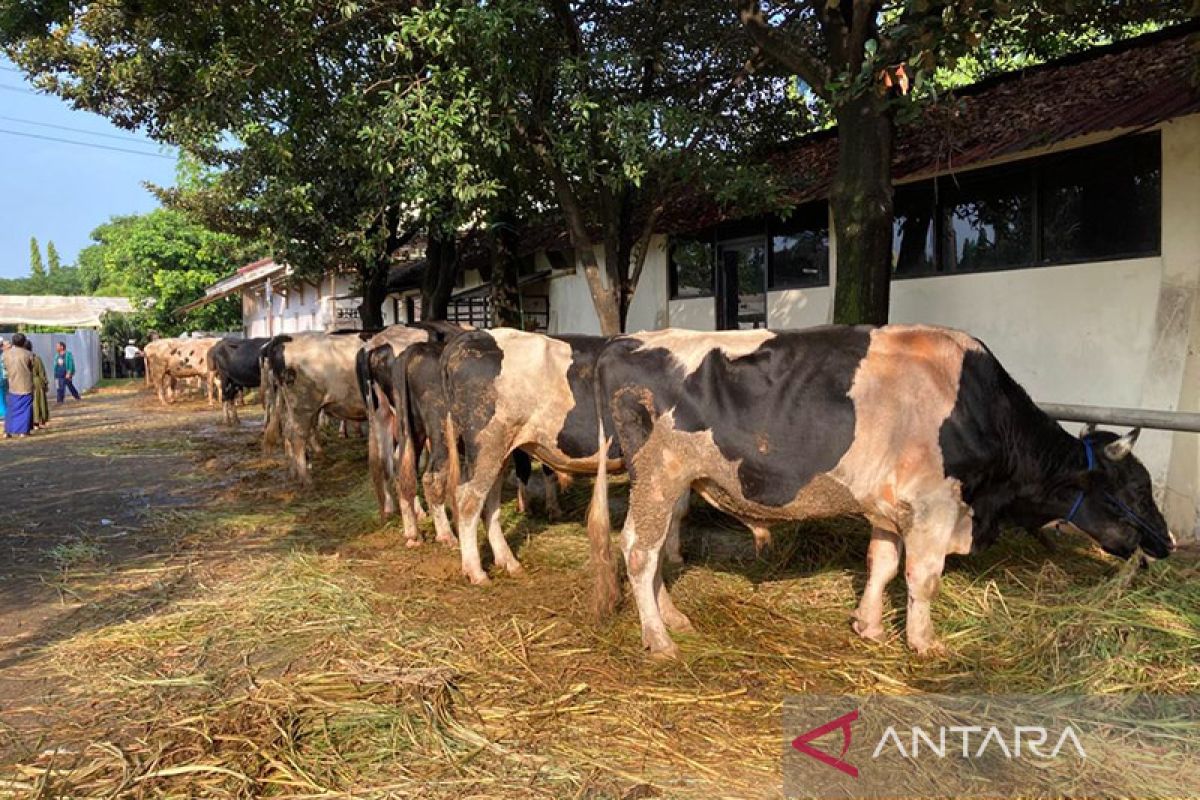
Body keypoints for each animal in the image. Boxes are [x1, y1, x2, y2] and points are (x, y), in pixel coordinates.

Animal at [590, 323, 1171, 657]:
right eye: (1137, 489)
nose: (1164, 543)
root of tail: (626, 339)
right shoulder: (934, 507)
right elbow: (923, 579)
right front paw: (925, 643)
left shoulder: (891, 505)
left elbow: (883, 564)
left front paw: (868, 626)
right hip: (658, 473)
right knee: (638, 551)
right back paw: (659, 639)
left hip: (674, 482)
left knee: (658, 551)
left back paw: (674, 619)